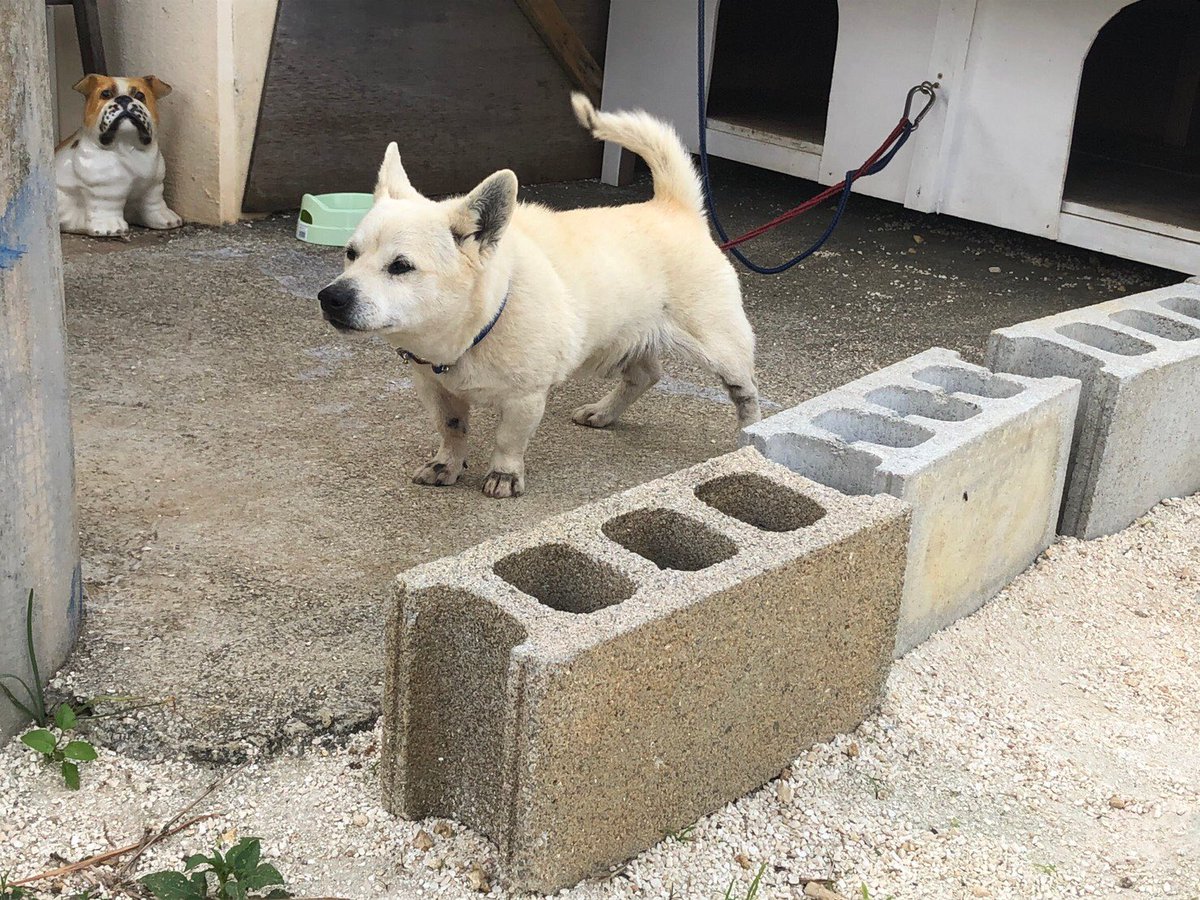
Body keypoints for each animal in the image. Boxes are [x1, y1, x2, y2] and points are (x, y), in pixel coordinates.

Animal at [53, 74, 181, 236]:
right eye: (105, 94)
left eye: (140, 95)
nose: (124, 99)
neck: (125, 146)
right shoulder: (106, 189)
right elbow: (106, 207)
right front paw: (110, 227)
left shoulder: (153, 185)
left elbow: (154, 202)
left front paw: (165, 218)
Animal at [319, 95, 758, 501]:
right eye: (350, 254)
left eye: (401, 266)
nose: (330, 297)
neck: (470, 333)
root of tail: (673, 206)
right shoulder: (435, 391)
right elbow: (452, 429)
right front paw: (448, 463)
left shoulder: (525, 399)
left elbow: (508, 439)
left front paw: (504, 475)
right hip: (621, 339)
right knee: (645, 375)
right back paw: (604, 412)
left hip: (721, 349)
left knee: (745, 392)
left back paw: (750, 435)